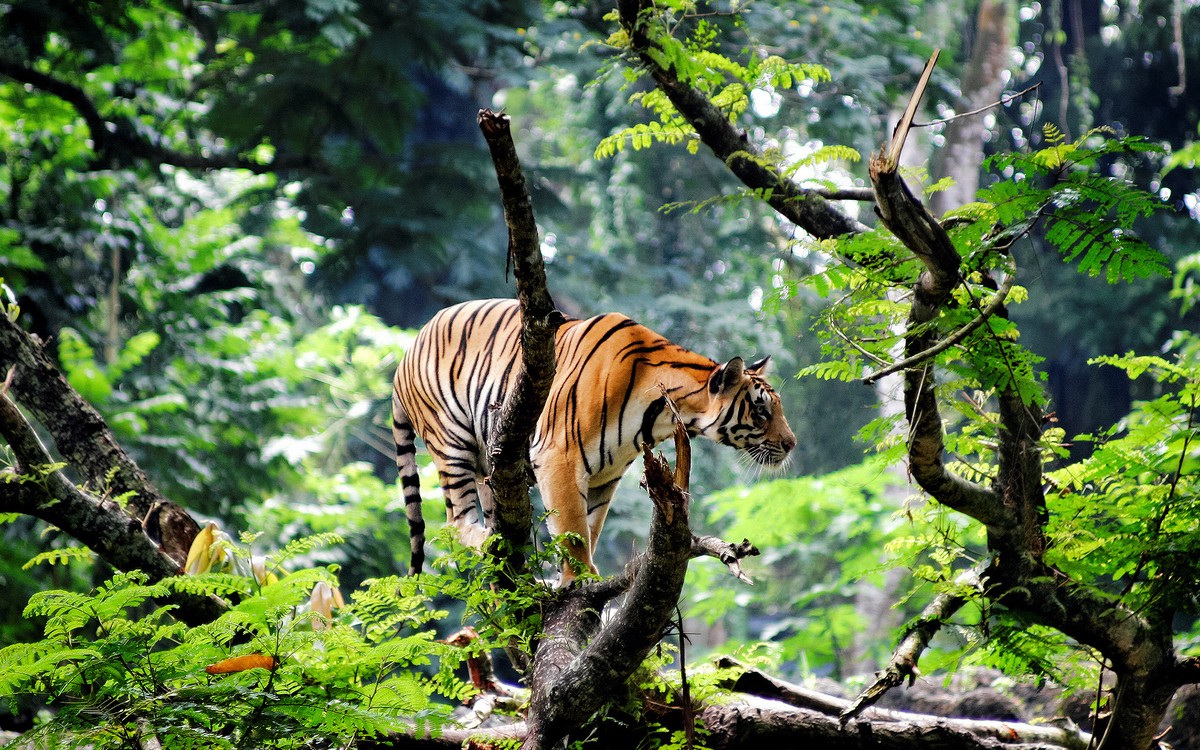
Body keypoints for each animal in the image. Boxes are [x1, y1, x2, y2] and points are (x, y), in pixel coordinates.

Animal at [393, 296, 796, 578]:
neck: (663, 414)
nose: (791, 444)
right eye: (762, 411)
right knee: (455, 523)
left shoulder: (606, 475)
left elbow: (590, 527)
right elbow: (572, 528)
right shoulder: (559, 456)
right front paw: (580, 579)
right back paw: (492, 542)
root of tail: (405, 353)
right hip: (452, 443)